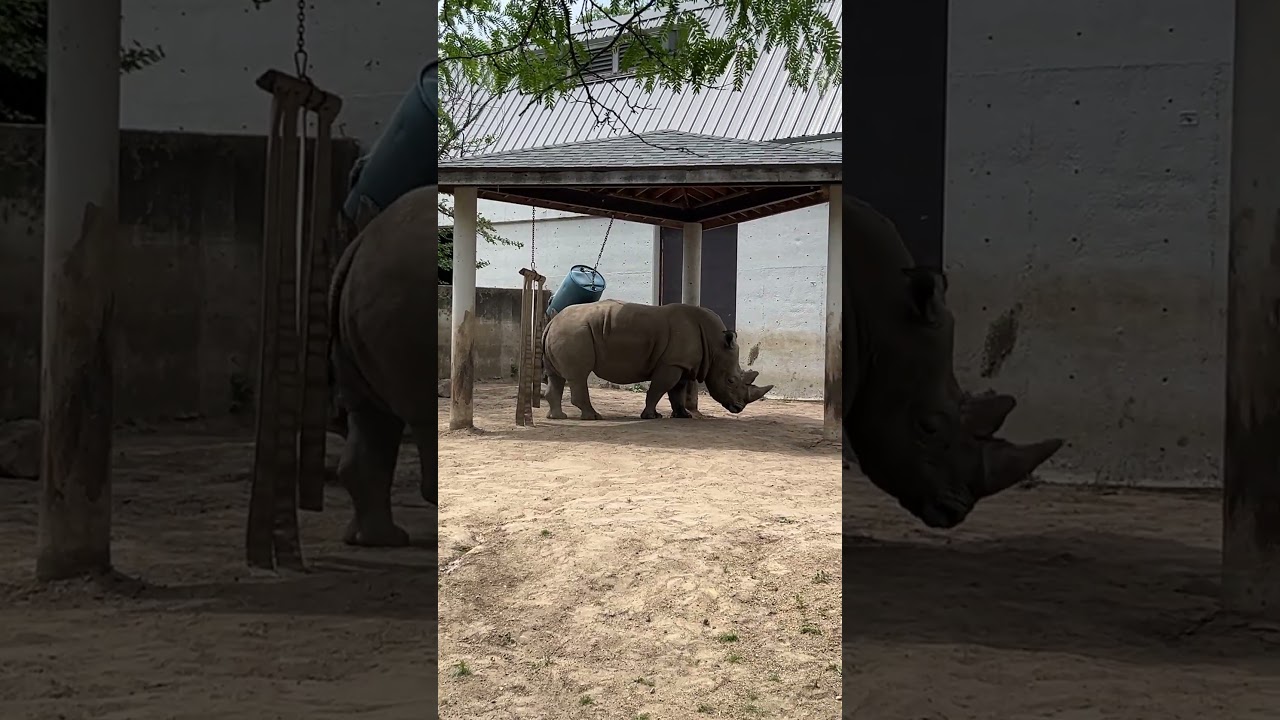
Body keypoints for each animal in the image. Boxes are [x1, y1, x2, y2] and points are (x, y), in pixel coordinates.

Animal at [541, 300, 772, 420]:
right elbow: (659, 389)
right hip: (574, 332)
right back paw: (594, 417)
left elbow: (677, 391)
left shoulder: (681, 363)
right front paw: (651, 416)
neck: (715, 345)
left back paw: (558, 417)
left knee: (556, 376)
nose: (738, 408)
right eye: (731, 381)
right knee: (579, 375)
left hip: (564, 331)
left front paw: (682, 416)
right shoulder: (671, 363)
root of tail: (552, 320)